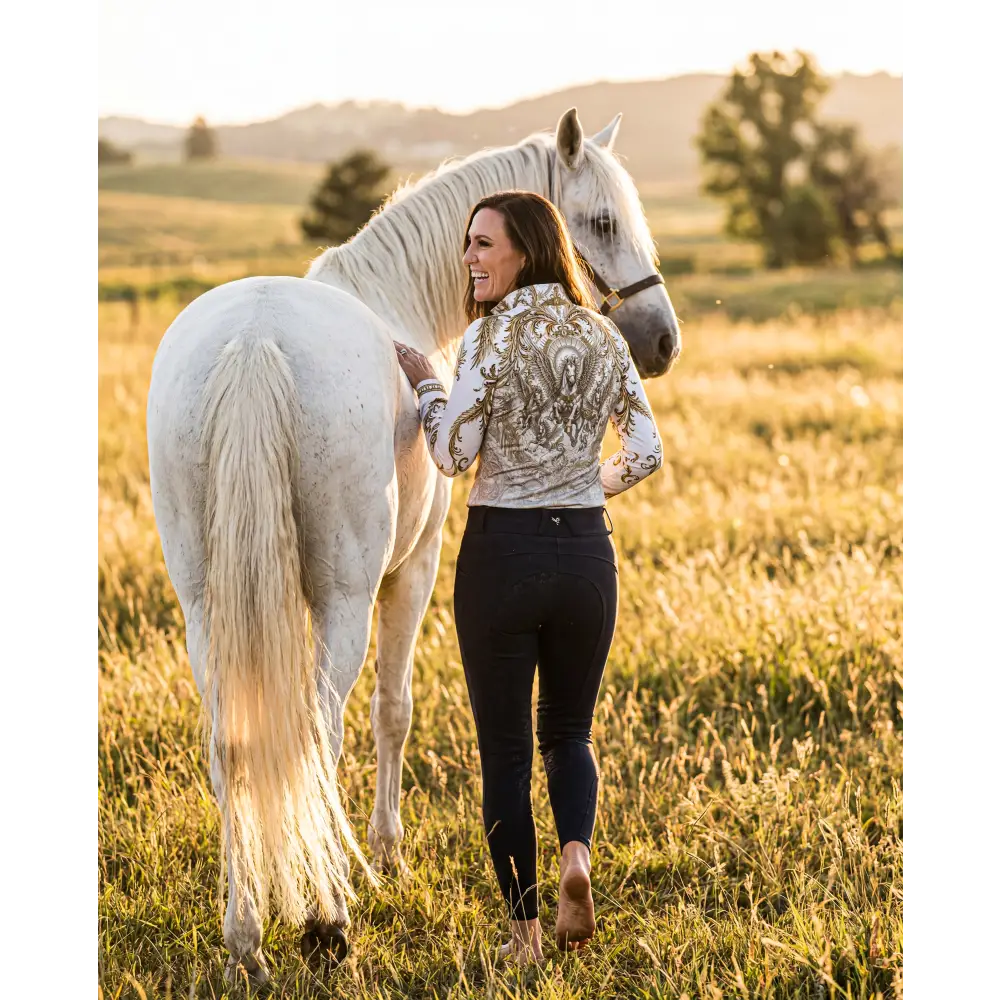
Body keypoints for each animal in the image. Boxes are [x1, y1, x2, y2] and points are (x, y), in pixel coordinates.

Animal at [145, 106, 681, 983]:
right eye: (601, 222)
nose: (662, 340)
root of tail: (255, 343)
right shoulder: (414, 571)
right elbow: (392, 711)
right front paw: (388, 855)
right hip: (344, 601)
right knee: (318, 737)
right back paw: (326, 922)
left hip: (203, 607)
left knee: (232, 746)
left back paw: (245, 940)